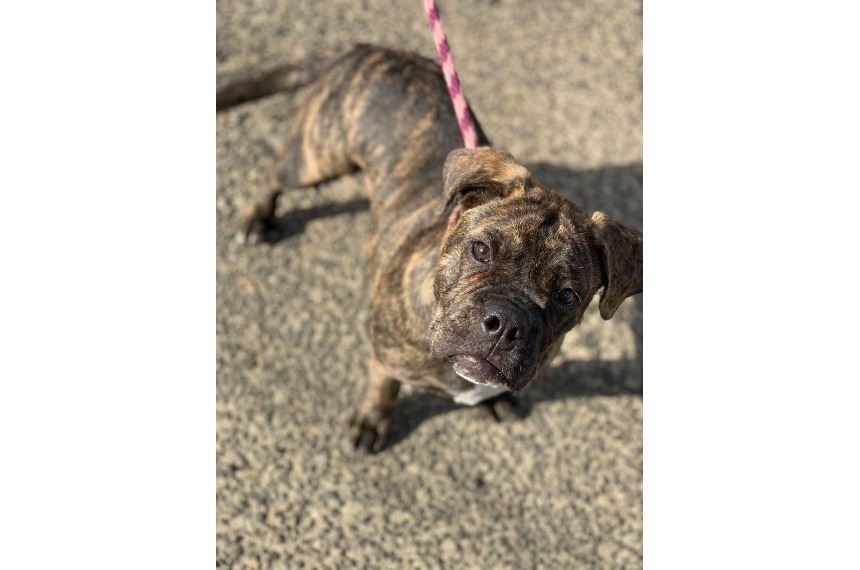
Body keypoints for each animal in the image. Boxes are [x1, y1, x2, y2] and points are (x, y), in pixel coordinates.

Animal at [217, 44, 642, 452]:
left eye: (567, 296)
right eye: (481, 250)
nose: (506, 324)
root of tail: (365, 48)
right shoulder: (383, 350)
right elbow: (383, 384)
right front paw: (373, 420)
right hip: (317, 158)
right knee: (275, 173)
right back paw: (256, 218)